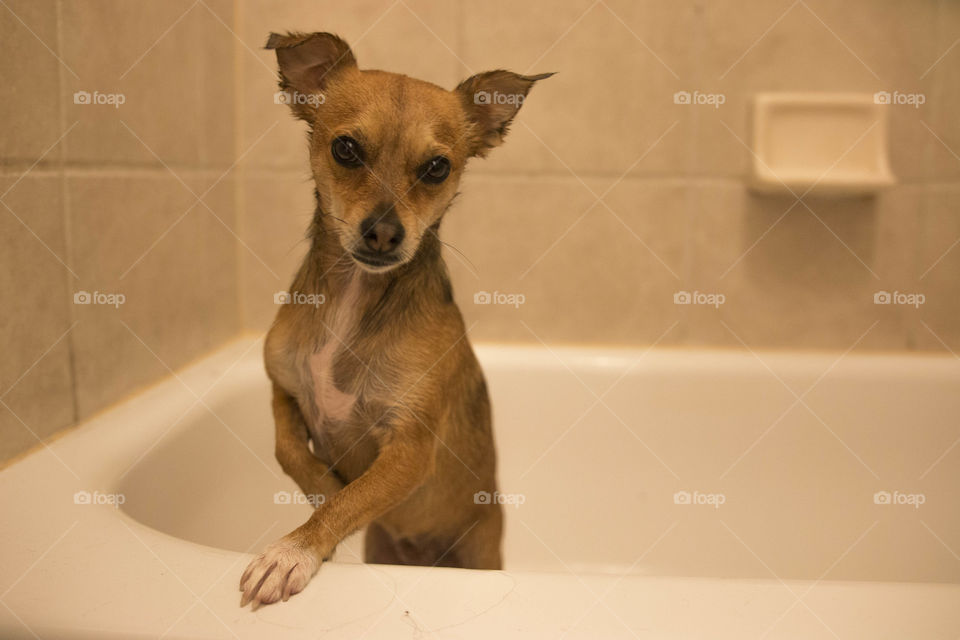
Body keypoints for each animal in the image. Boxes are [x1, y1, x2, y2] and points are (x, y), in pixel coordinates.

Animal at [237, 31, 552, 608]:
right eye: (345, 149)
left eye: (437, 168)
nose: (383, 232)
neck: (353, 301)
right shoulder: (283, 387)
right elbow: (289, 450)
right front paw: (323, 487)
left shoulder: (408, 449)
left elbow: (348, 501)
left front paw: (293, 550)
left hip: (480, 552)